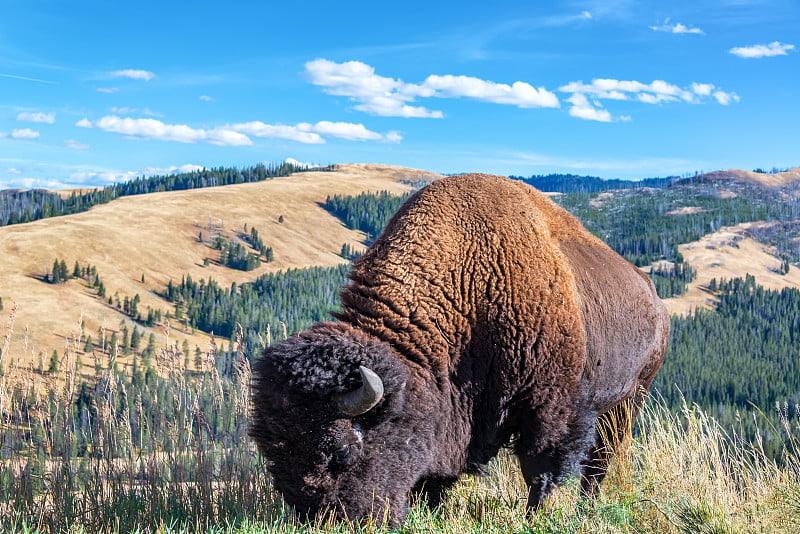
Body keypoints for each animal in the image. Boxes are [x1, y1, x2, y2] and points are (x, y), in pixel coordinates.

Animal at [250, 174, 668, 524]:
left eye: (340, 451)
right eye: (272, 456)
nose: (331, 521)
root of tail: (653, 297)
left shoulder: (552, 407)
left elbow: (541, 469)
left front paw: (534, 518)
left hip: (629, 398)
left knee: (600, 460)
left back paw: (587, 508)